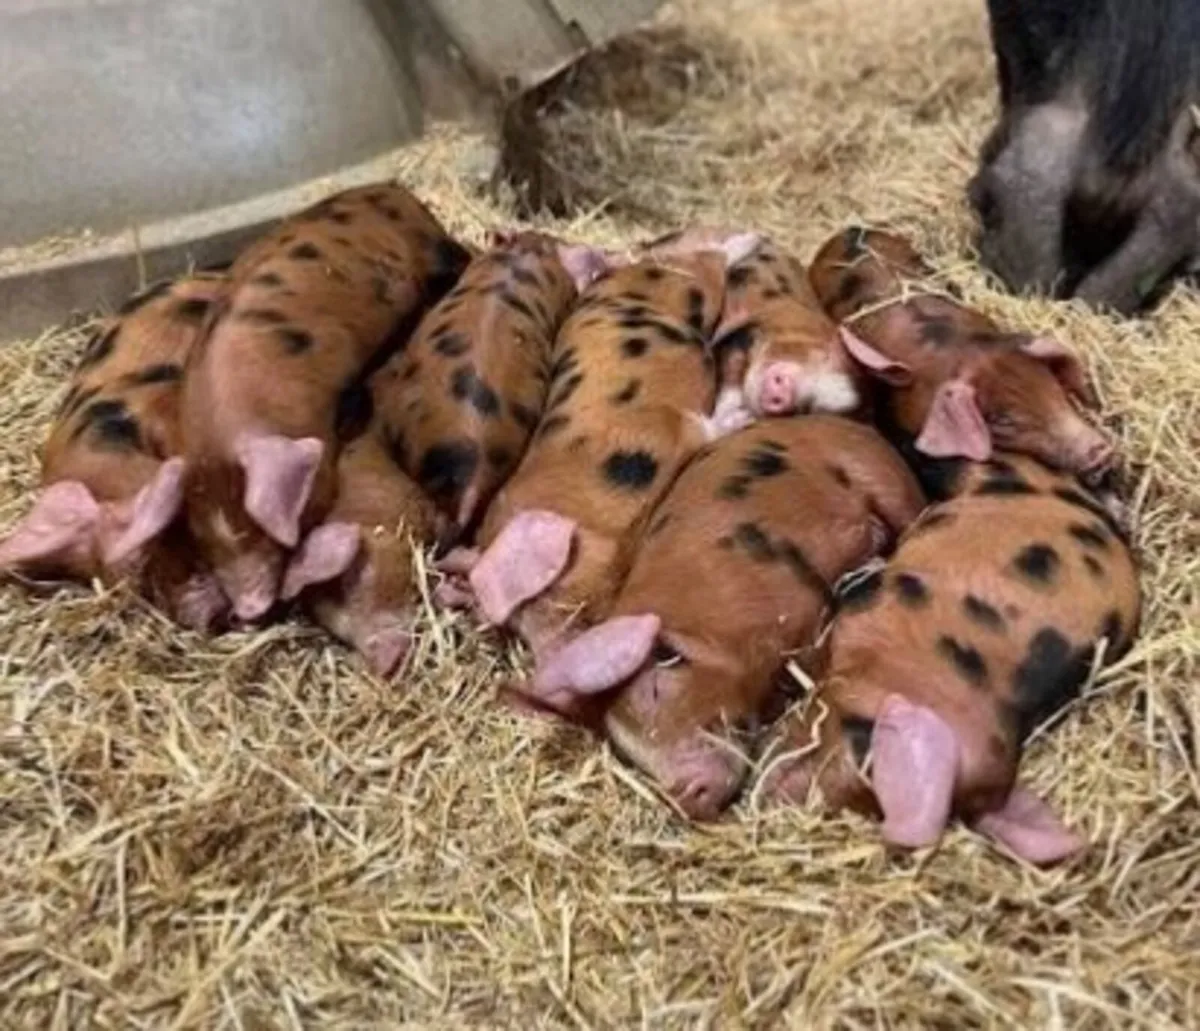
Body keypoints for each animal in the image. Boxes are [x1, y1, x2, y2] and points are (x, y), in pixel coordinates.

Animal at [439, 233, 762, 677]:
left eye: (540, 596)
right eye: (518, 631)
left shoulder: (660, 431)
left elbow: (702, 426)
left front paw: (745, 414)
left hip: (692, 280)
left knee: (708, 255)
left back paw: (751, 241)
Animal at [516, 416, 926, 819]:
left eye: (656, 688)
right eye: (626, 755)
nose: (682, 795)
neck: (710, 634)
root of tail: (854, 425)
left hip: (880, 474)